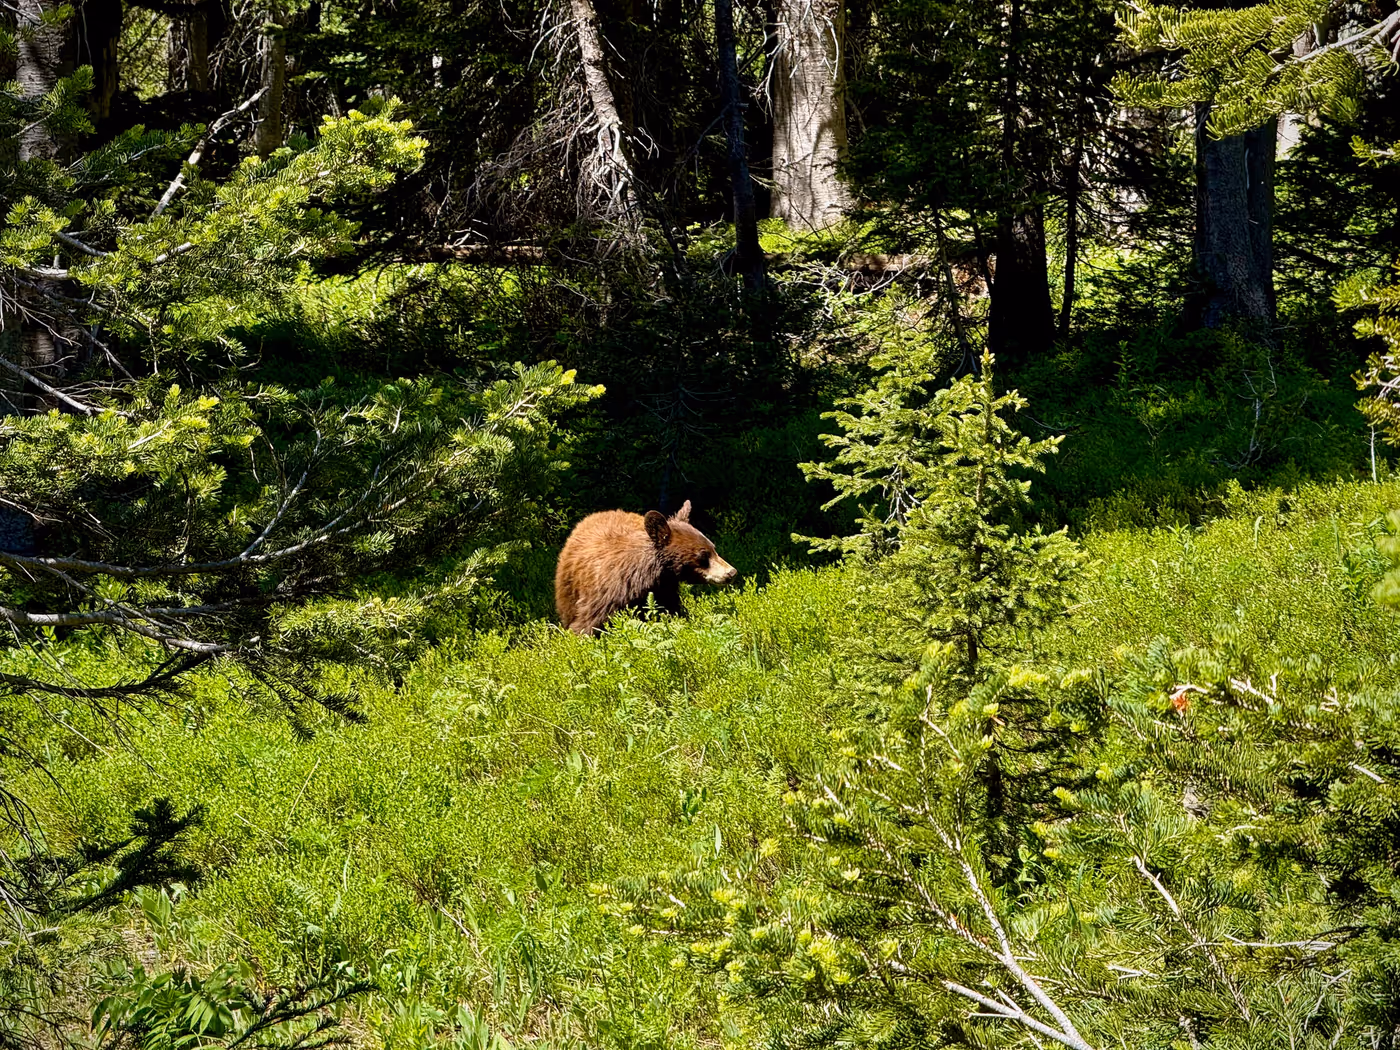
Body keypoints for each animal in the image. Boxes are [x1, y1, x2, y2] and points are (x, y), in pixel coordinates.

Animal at [555, 499, 738, 636]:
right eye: (703, 555)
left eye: (713, 548)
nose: (731, 572)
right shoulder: (603, 596)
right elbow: (587, 625)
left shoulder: (664, 590)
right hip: (567, 589)